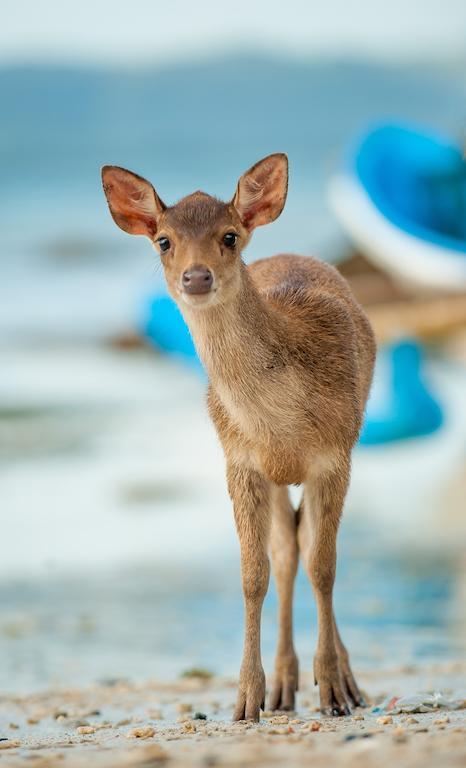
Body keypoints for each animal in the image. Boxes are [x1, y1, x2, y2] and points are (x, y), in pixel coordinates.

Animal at [102, 156, 374, 720]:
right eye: (164, 240)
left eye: (228, 235)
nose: (196, 275)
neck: (282, 424)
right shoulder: (241, 460)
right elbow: (254, 574)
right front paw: (248, 698)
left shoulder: (336, 456)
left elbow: (325, 567)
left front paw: (335, 692)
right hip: (272, 478)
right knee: (287, 551)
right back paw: (285, 687)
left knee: (305, 550)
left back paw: (342, 682)